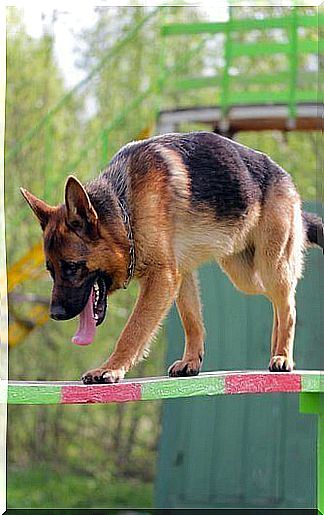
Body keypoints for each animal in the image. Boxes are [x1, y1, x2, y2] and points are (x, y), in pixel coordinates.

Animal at [21, 132, 322, 382]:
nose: (55, 314)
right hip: (244, 275)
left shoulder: (161, 277)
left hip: (270, 265)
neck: (124, 208)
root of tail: (287, 181)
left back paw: (283, 356)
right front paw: (191, 361)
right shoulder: (179, 274)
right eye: (50, 270)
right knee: (278, 301)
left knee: (288, 305)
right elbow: (191, 320)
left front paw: (111, 368)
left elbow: (133, 329)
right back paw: (276, 350)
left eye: (72, 267)